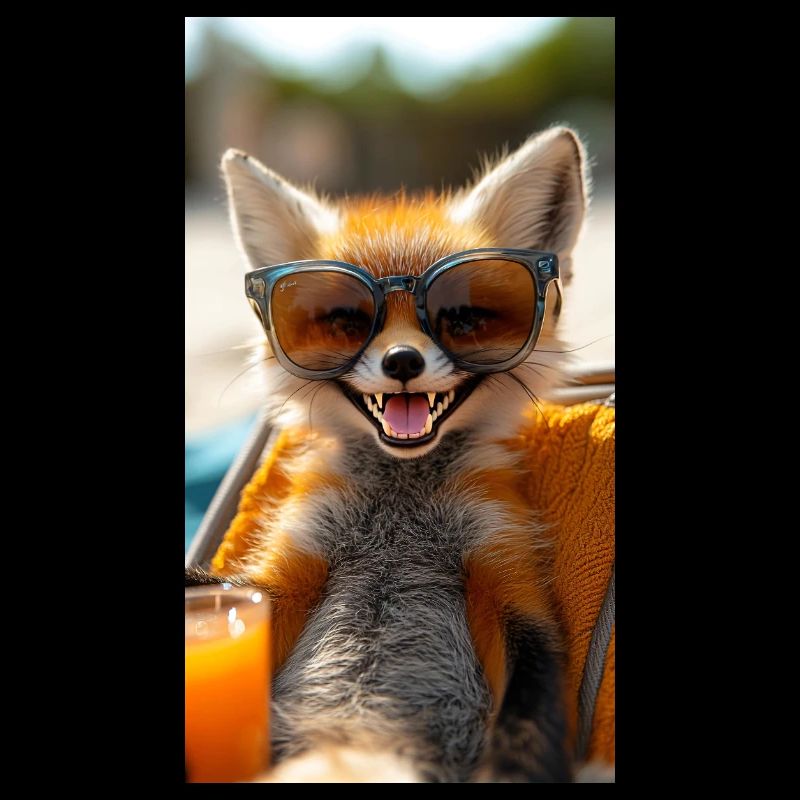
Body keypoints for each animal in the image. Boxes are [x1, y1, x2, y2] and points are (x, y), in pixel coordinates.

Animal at [186, 126, 596, 782]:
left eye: (463, 315)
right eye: (342, 319)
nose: (402, 361)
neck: (400, 507)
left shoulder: (511, 576)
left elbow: (529, 721)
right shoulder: (277, 575)